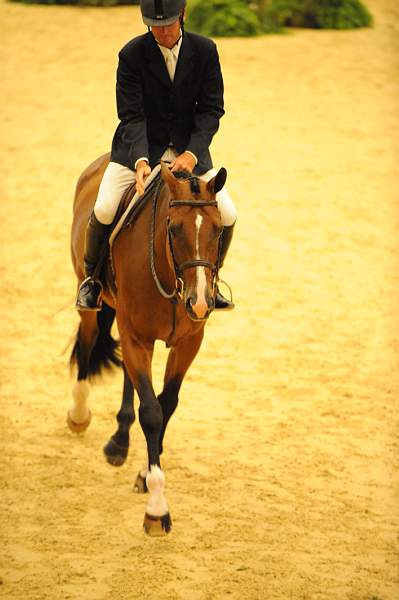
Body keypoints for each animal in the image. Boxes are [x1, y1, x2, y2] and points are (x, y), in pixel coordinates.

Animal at [68, 154, 228, 536]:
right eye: (174, 228)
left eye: (218, 230)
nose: (201, 303)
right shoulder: (136, 336)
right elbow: (152, 413)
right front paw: (157, 508)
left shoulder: (188, 342)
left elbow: (166, 404)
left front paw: (144, 473)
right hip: (96, 302)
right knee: (88, 339)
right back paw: (79, 415)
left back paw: (120, 440)